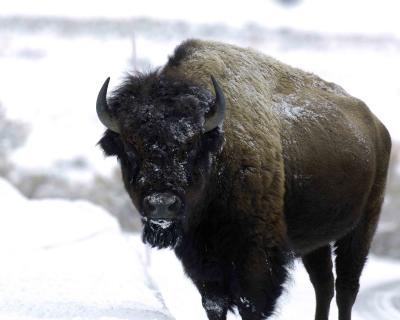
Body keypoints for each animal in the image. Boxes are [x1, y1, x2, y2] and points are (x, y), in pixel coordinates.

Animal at [96, 40, 390, 320]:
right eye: (130, 148)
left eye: (191, 146)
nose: (162, 204)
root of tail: (377, 126)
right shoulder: (202, 260)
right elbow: (214, 304)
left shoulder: (257, 260)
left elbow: (251, 306)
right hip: (316, 239)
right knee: (324, 284)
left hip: (362, 226)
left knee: (346, 288)